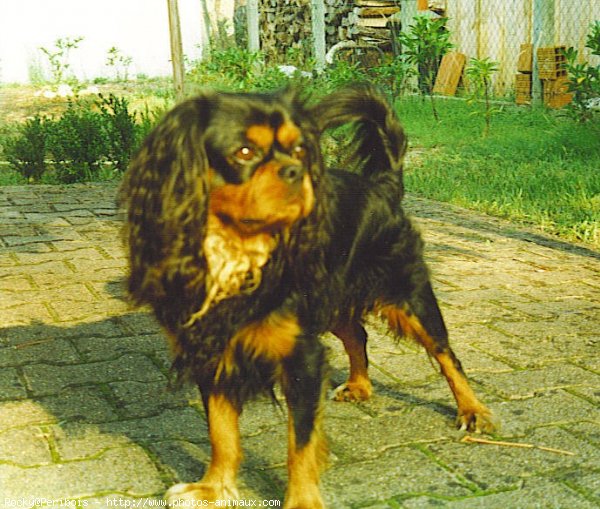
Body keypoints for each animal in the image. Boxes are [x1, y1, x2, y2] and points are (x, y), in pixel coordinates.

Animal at [119, 84, 494, 508]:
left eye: (298, 150)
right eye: (244, 152)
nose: (296, 171)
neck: (236, 251)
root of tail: (383, 185)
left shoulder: (302, 357)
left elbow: (299, 443)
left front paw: (300, 500)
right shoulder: (211, 351)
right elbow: (221, 431)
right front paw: (214, 488)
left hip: (408, 294)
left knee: (447, 355)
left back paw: (473, 410)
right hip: (332, 298)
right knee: (357, 335)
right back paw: (360, 386)